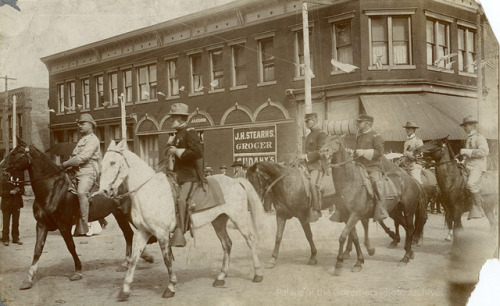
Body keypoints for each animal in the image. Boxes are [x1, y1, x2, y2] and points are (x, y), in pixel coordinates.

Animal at [1, 139, 142, 290]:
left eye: (15, 153)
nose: (1, 167)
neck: (52, 189)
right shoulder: (41, 224)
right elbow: (37, 249)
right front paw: (28, 279)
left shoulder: (64, 226)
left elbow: (71, 247)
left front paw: (78, 271)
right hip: (119, 214)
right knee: (128, 234)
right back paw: (126, 263)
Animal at [95, 139, 264, 302]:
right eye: (102, 163)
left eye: (113, 162)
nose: (103, 191)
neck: (149, 191)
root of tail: (236, 181)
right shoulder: (143, 232)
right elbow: (134, 259)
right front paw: (125, 290)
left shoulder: (162, 234)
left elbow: (167, 259)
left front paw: (170, 287)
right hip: (218, 221)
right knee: (227, 244)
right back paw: (221, 277)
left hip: (239, 218)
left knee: (250, 240)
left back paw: (257, 274)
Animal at [320, 135, 426, 272]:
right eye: (324, 142)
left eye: (337, 142)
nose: (323, 152)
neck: (350, 182)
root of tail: (412, 180)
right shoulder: (347, 216)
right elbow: (354, 237)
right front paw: (359, 261)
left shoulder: (355, 214)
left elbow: (343, 236)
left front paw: (339, 261)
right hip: (395, 212)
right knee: (407, 228)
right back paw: (408, 251)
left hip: (409, 211)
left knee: (411, 229)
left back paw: (405, 257)